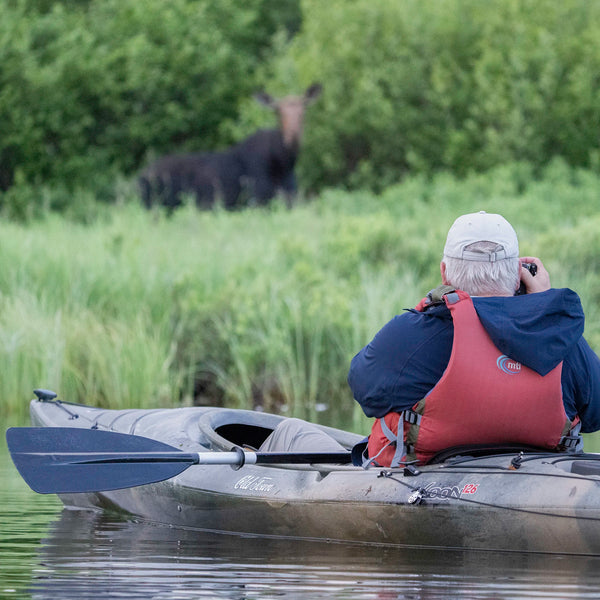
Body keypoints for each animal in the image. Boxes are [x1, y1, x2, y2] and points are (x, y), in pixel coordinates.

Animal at [138, 84, 322, 211]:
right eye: (277, 112)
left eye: (303, 111)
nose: (293, 135)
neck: (284, 164)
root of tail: (139, 177)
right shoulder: (257, 200)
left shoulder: (292, 199)